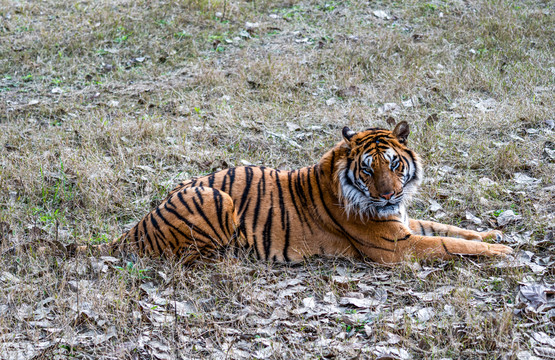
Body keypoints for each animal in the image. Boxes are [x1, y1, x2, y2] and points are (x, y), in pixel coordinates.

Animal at [76, 121, 516, 264]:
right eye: (368, 169)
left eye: (394, 165)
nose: (390, 197)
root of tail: (137, 225)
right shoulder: (396, 246)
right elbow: (448, 242)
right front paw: (504, 252)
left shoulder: (404, 223)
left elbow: (450, 228)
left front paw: (494, 234)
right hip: (215, 197)